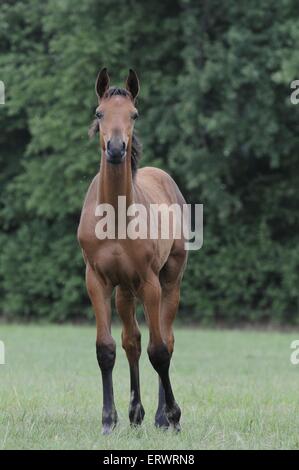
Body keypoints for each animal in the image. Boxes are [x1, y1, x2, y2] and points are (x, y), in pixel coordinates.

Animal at [78, 68, 189, 436]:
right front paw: (108, 421)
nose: (116, 148)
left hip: (169, 281)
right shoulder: (97, 282)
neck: (115, 216)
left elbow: (159, 351)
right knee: (132, 342)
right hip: (124, 291)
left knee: (165, 339)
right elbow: (107, 349)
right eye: (99, 113)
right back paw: (136, 414)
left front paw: (173, 416)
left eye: (134, 114)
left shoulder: (150, 283)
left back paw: (160, 417)